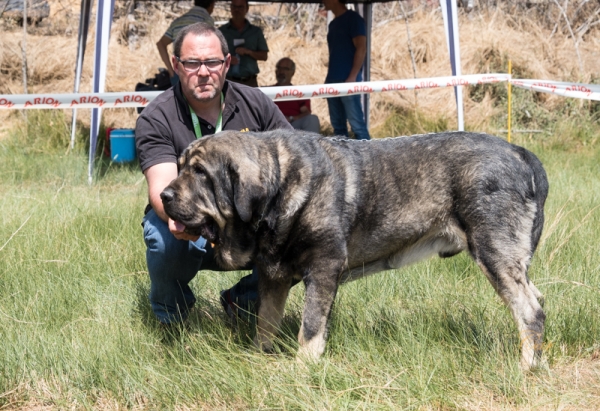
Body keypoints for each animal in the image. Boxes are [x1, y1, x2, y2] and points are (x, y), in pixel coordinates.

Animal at [161, 130, 548, 370]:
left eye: (200, 172)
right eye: (179, 167)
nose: (163, 195)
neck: (280, 187)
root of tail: (521, 152)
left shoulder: (323, 269)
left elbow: (310, 326)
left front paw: (303, 367)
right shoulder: (274, 275)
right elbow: (266, 321)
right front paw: (261, 355)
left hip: (495, 254)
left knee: (530, 312)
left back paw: (526, 367)